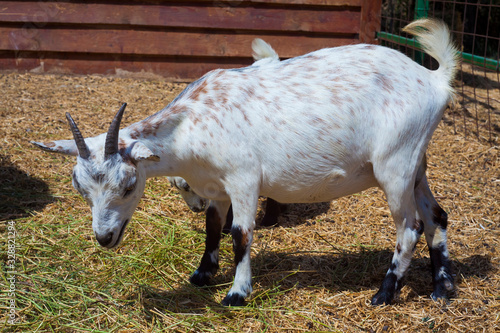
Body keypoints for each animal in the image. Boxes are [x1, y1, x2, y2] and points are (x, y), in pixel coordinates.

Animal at [33, 18, 458, 306]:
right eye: (81, 189)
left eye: (128, 185)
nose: (104, 238)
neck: (195, 123)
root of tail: (434, 79)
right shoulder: (215, 187)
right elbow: (212, 228)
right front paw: (202, 274)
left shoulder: (243, 179)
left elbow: (240, 233)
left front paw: (237, 292)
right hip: (417, 164)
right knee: (437, 216)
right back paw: (442, 288)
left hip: (395, 165)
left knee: (410, 227)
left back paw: (385, 293)